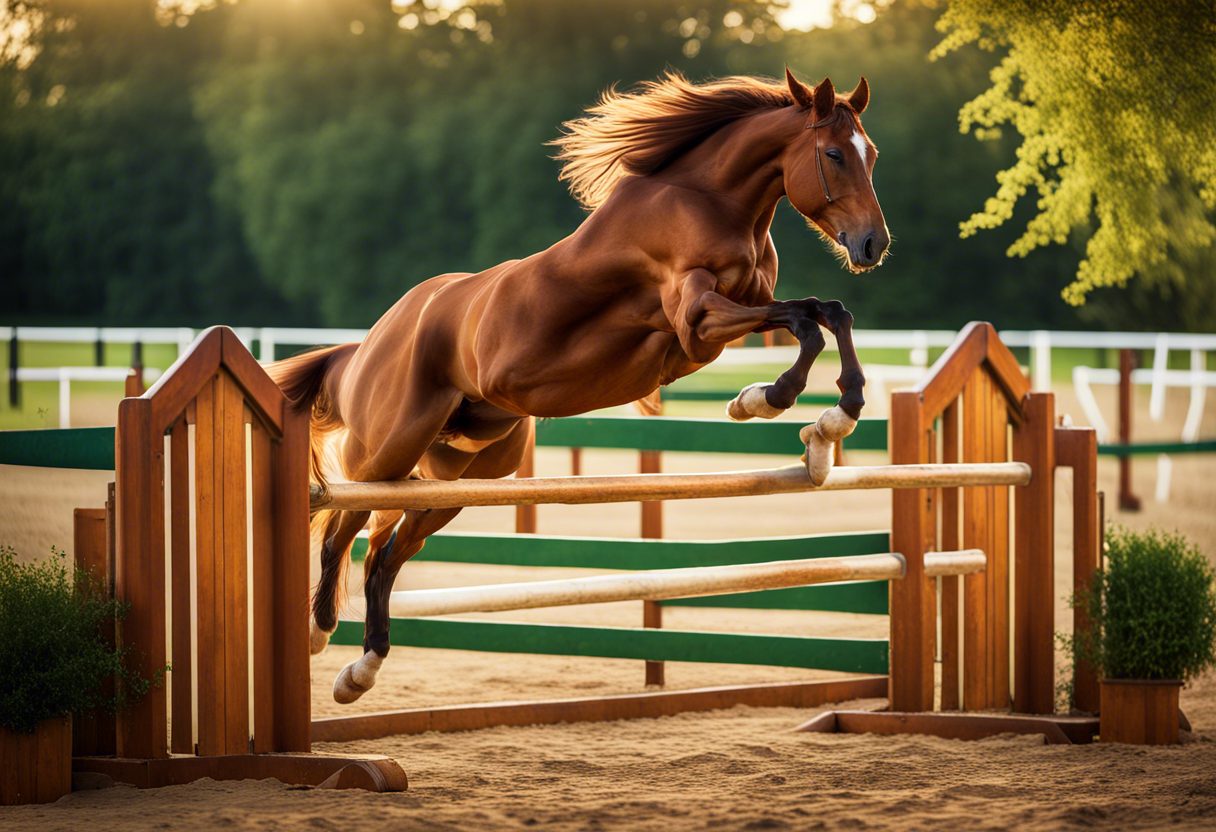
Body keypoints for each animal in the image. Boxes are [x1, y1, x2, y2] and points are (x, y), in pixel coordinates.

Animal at [269, 69, 890, 703]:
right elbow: (803, 321)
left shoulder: (735, 317)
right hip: (390, 448)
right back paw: (320, 632)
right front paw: (766, 400)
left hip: (458, 475)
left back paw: (361, 669)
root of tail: (370, 342)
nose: (873, 244)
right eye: (834, 154)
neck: (711, 201)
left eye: (872, 154)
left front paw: (833, 416)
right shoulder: (697, 320)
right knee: (343, 523)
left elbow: (827, 313)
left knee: (384, 552)